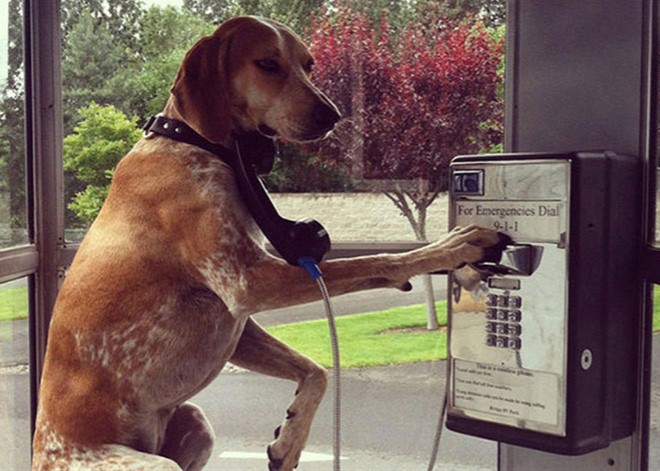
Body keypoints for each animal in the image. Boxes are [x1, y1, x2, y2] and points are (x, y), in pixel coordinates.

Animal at [29, 15, 496, 471]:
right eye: (267, 64)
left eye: (309, 65)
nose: (332, 115)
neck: (195, 142)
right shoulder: (249, 281)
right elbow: (382, 260)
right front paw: (452, 248)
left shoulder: (239, 324)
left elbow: (317, 370)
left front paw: (290, 440)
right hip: (154, 464)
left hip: (196, 424)